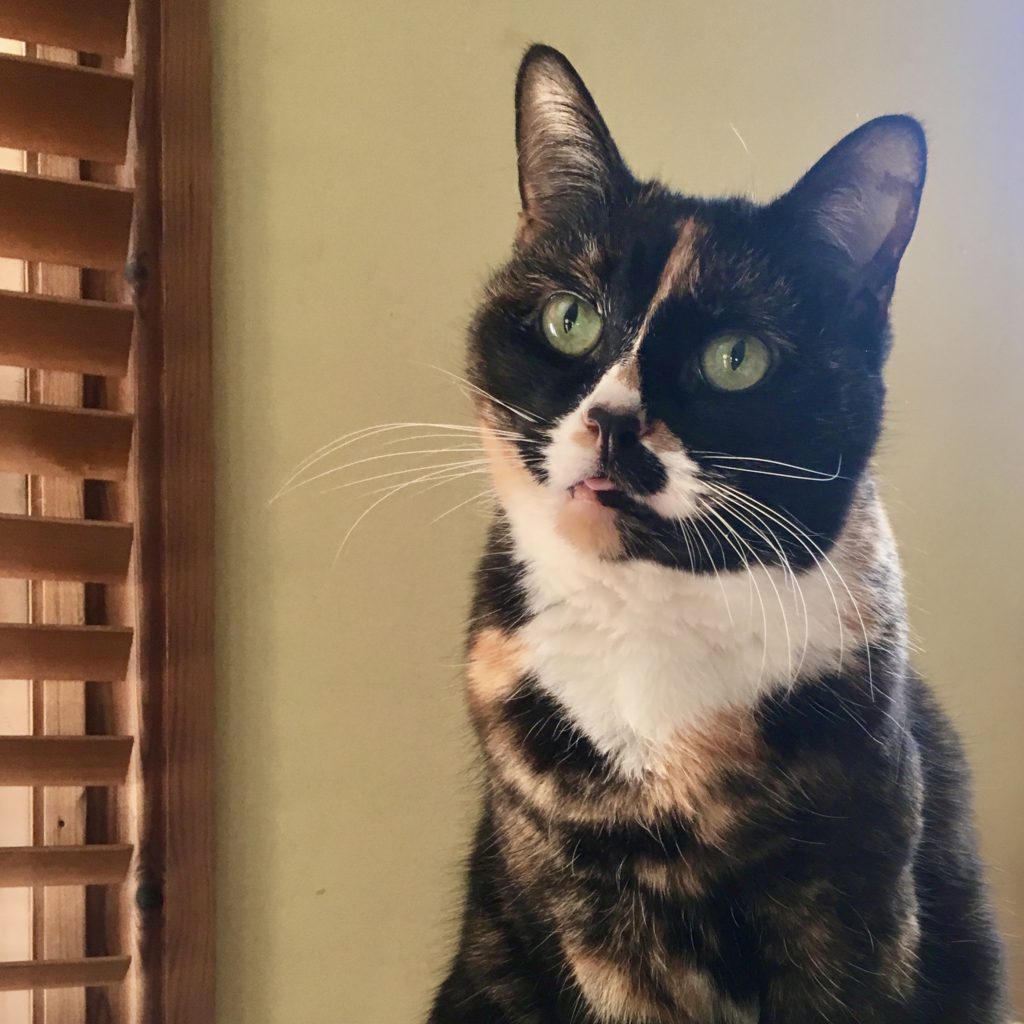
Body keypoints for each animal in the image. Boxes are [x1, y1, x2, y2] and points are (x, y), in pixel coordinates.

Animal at [428, 46, 1011, 1024]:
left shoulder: (853, 901)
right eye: (570, 319)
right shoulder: (585, 904)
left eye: (736, 360)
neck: (648, 616)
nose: (614, 420)